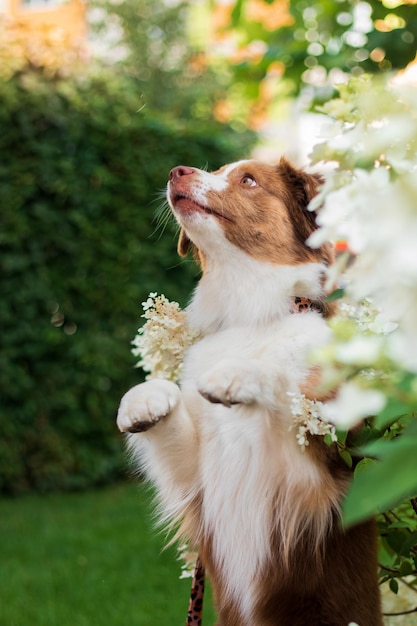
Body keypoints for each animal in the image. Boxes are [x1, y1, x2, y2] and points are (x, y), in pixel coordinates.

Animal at [115, 157, 382, 624]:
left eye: (249, 180)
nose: (177, 170)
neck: (248, 314)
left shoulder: (318, 481)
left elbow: (286, 387)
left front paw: (241, 374)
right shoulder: (196, 480)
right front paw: (144, 397)